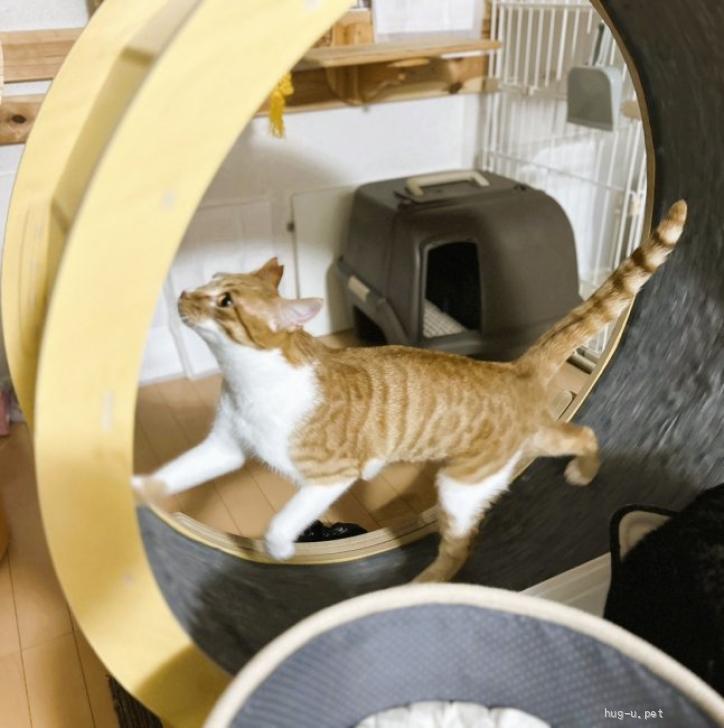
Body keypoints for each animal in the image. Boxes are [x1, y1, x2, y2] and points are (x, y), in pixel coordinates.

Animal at [133, 200, 687, 582]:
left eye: (224, 301)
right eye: (208, 281)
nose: (184, 294)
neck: (247, 381)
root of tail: (512, 368)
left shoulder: (330, 477)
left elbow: (282, 520)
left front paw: (281, 548)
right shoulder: (225, 446)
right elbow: (177, 472)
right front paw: (139, 493)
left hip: (463, 484)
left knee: (462, 546)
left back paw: (428, 581)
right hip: (526, 445)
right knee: (583, 432)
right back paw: (583, 471)